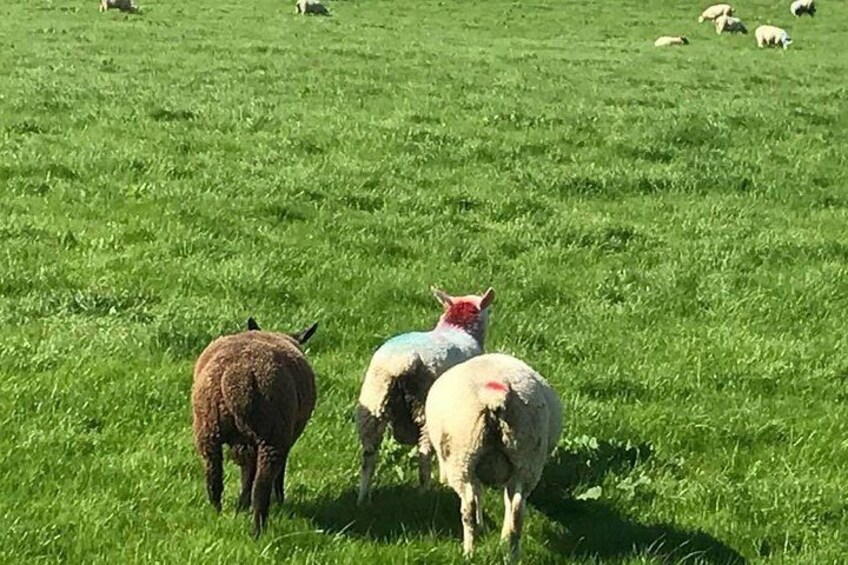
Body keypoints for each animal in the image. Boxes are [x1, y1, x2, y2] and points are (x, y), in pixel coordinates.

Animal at [191, 317, 319, 537]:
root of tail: (238, 379)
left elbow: (246, 473)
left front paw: (241, 506)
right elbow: (276, 474)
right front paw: (280, 501)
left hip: (208, 430)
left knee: (214, 480)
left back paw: (216, 514)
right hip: (272, 436)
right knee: (261, 487)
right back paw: (258, 530)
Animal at [356, 286, 495, 504]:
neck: (458, 328)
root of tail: (404, 362)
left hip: (374, 399)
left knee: (368, 455)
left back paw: (362, 498)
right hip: (425, 405)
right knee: (424, 452)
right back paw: (424, 491)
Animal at [425, 353, 563, 561]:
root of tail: (494, 397)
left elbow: (478, 496)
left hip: (463, 457)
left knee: (469, 508)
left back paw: (469, 552)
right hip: (526, 459)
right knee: (517, 511)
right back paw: (511, 554)